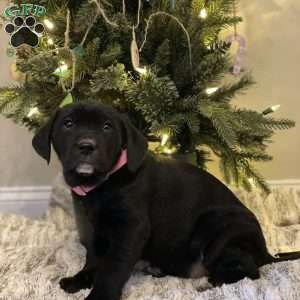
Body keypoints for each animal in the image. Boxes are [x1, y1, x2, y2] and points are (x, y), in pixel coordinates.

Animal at [32, 103, 300, 300]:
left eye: (107, 127)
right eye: (68, 124)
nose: (86, 146)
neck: (103, 183)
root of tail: (266, 253)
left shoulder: (132, 229)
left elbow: (113, 267)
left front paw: (99, 296)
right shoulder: (95, 227)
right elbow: (94, 258)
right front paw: (81, 279)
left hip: (217, 227)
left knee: (248, 271)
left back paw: (208, 283)